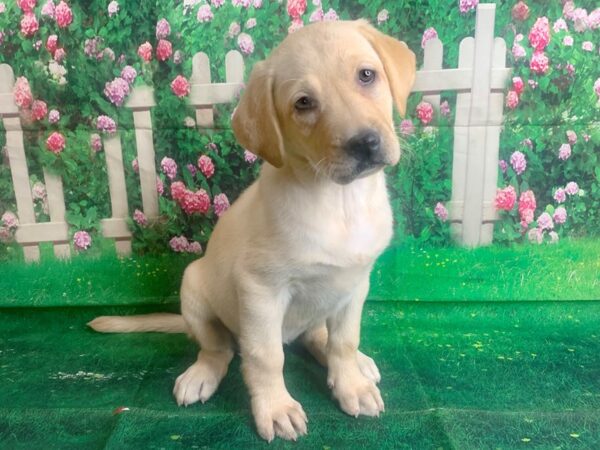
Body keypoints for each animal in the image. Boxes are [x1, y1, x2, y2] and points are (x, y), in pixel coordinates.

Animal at [90, 19, 412, 442]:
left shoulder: (355, 283)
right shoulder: (261, 289)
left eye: (367, 75)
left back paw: (358, 363)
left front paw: (352, 386)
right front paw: (276, 409)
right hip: (195, 290)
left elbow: (344, 341)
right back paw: (201, 375)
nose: (365, 143)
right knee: (220, 350)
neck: (340, 201)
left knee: (317, 337)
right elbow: (265, 356)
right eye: (303, 103)